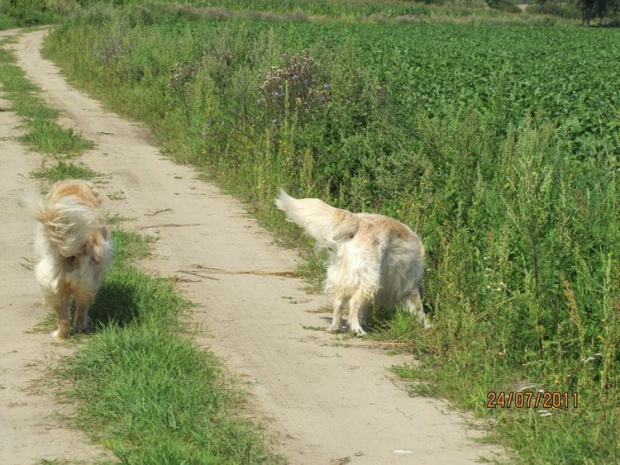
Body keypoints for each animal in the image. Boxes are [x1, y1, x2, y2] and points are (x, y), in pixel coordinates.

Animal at [22, 179, 112, 338]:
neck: (73, 191)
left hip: (60, 288)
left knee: (70, 317)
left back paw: (63, 333)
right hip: (82, 287)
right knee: (74, 315)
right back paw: (73, 330)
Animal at [276, 188, 432, 334]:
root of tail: (358, 221)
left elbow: (365, 308)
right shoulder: (409, 284)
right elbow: (419, 308)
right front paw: (428, 326)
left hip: (343, 274)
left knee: (338, 302)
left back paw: (336, 327)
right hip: (369, 279)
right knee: (353, 302)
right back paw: (357, 329)